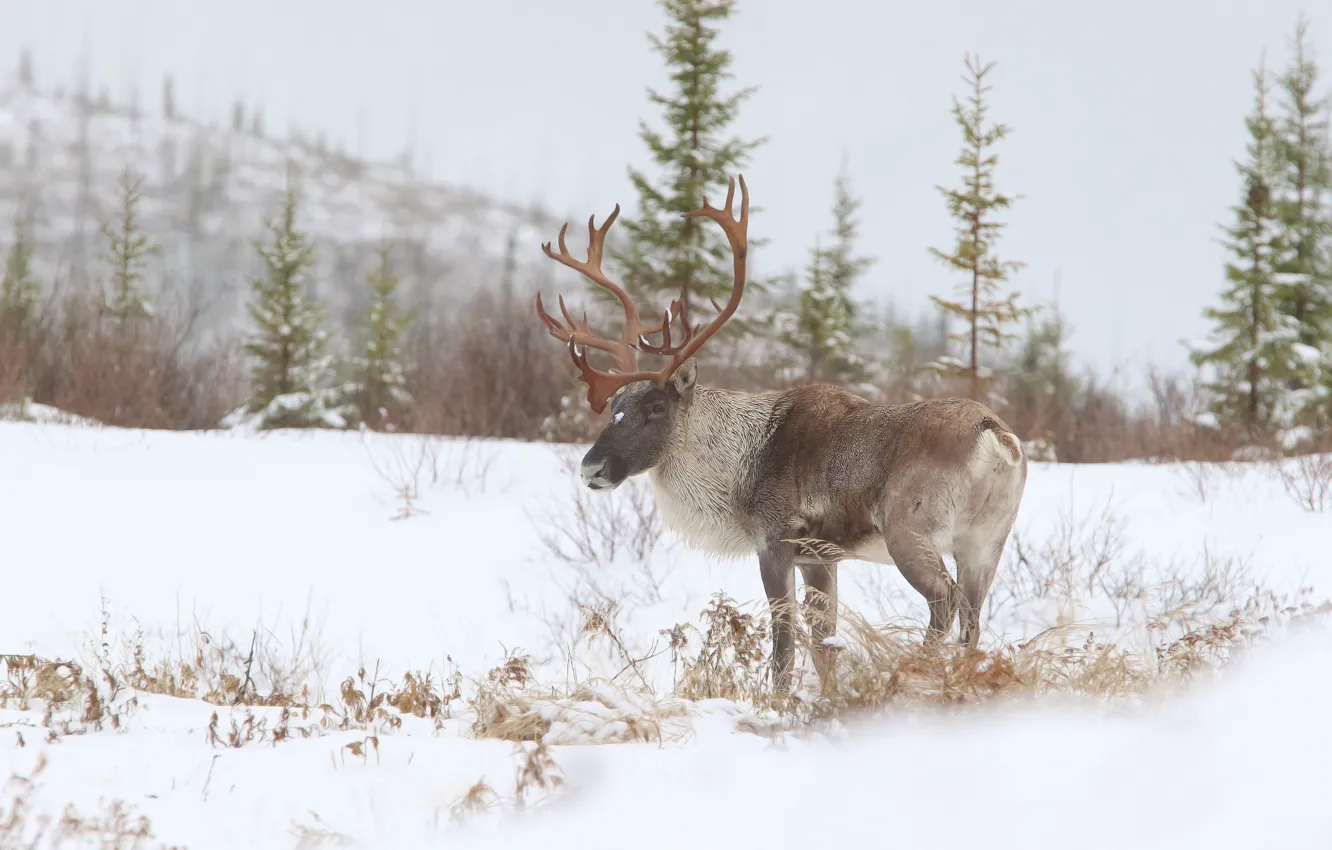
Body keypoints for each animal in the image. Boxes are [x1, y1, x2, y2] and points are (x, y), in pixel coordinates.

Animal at [534, 174, 1028, 701]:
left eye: (656, 408)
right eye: (614, 406)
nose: (591, 467)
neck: (738, 467)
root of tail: (995, 439)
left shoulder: (776, 540)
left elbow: (785, 642)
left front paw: (779, 702)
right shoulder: (821, 557)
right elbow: (825, 641)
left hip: (910, 531)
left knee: (944, 601)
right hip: (985, 542)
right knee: (973, 617)